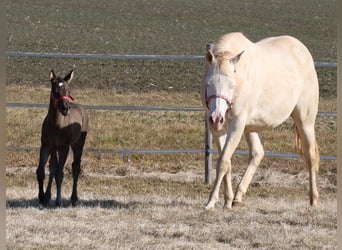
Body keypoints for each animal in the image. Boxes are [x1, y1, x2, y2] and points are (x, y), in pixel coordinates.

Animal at [36, 70, 88, 207]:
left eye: (68, 91)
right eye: (55, 91)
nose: (65, 108)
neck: (56, 125)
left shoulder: (64, 147)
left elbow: (60, 173)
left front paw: (58, 201)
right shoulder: (46, 145)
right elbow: (42, 171)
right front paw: (42, 197)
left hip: (78, 144)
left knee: (75, 167)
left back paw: (74, 198)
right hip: (55, 148)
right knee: (53, 166)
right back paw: (48, 196)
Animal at [200, 32, 320, 210]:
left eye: (232, 85)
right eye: (209, 84)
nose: (216, 118)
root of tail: (303, 51)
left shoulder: (237, 124)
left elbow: (223, 162)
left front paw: (211, 202)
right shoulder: (217, 129)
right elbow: (226, 162)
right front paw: (226, 200)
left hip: (305, 121)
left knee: (310, 156)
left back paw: (313, 199)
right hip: (251, 127)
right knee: (258, 152)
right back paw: (237, 197)